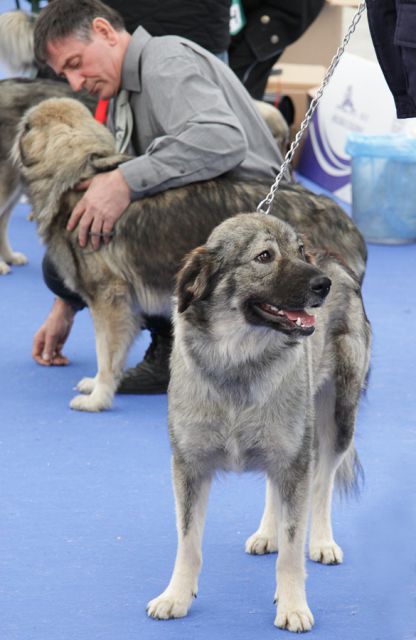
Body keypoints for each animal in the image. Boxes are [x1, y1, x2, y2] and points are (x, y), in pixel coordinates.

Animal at [13, 97, 368, 412]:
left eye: (26, 125)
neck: (80, 175)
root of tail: (341, 216)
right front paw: (97, 386)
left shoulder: (110, 302)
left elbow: (107, 356)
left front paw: (98, 397)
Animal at [148, 214, 372, 632]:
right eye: (264, 256)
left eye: (299, 251)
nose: (323, 285)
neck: (239, 360)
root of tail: (332, 260)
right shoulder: (190, 466)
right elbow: (188, 544)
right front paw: (176, 597)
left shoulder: (295, 459)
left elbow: (292, 552)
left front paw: (293, 605)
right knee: (276, 488)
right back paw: (268, 533)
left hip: (337, 420)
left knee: (321, 484)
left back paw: (321, 541)